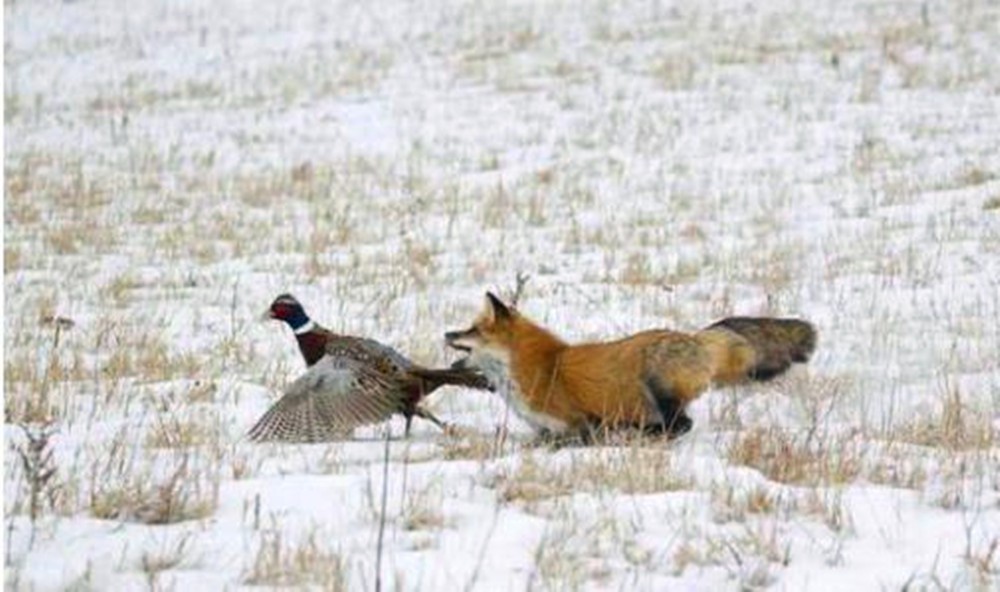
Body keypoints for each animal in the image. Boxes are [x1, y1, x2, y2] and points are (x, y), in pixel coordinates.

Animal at [444, 294, 812, 440]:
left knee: (680, 425)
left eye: (472, 330)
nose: (447, 333)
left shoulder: (577, 425)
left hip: (657, 383)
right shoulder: (546, 431)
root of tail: (695, 338)